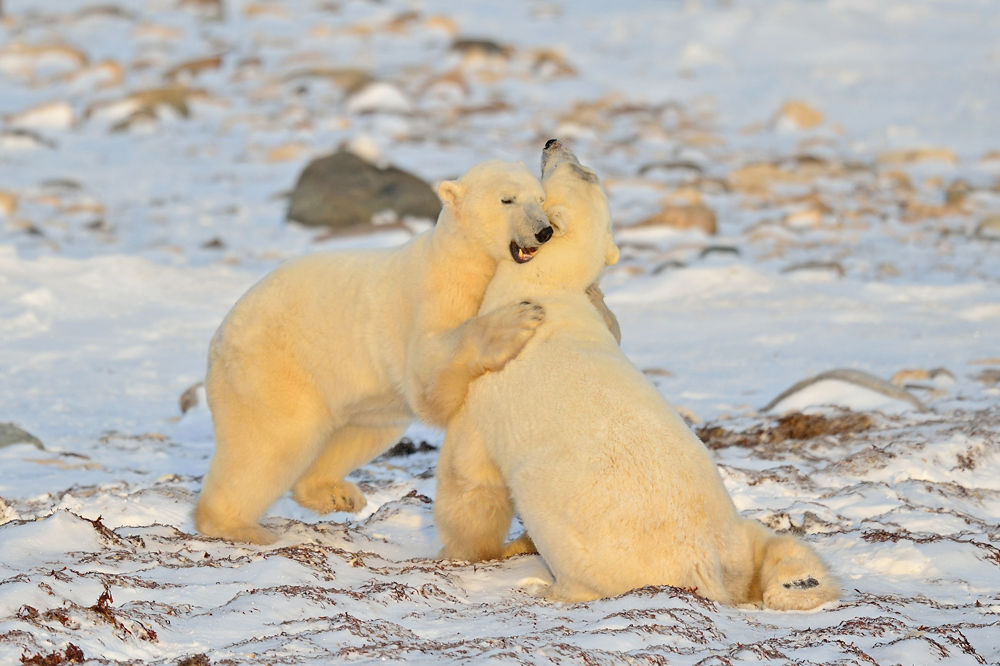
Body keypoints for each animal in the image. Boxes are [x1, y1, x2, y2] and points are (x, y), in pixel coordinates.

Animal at [192, 158, 564, 544]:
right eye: (507, 200)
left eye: (540, 198)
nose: (544, 231)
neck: (462, 258)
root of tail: (219, 336)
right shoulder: (438, 292)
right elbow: (427, 375)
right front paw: (518, 319)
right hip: (272, 370)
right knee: (270, 443)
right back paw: (239, 526)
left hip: (360, 398)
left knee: (359, 434)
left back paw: (335, 492)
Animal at [434, 140, 840, 608]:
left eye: (579, 171)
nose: (554, 143)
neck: (546, 287)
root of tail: (706, 567)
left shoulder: (494, 384)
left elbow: (469, 472)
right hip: (736, 537)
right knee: (773, 546)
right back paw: (800, 580)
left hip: (581, 530)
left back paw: (543, 584)